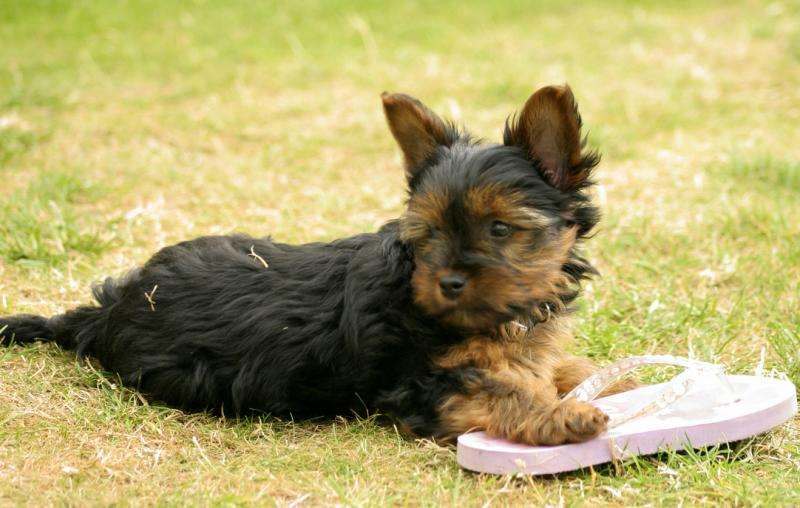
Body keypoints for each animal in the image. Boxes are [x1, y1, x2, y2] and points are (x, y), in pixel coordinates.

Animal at [0, 85, 624, 442]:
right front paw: (562, 416)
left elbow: (552, 367)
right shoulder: (420, 384)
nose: (447, 283)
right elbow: (498, 392)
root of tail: (109, 309)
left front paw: (591, 376)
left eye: (499, 230)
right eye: (428, 235)